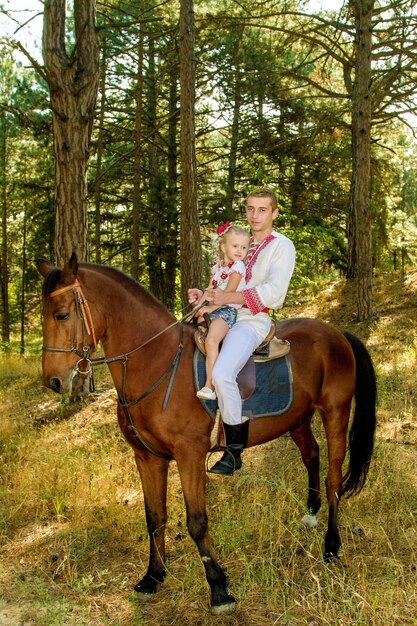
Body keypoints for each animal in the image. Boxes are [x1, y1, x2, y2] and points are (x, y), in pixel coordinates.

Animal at [37, 254, 376, 616]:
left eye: (62, 314)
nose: (53, 380)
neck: (156, 363)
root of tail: (335, 332)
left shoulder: (190, 455)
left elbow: (197, 522)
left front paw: (219, 589)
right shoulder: (146, 457)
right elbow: (154, 517)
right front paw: (152, 577)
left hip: (336, 411)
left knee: (333, 477)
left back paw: (332, 545)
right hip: (297, 419)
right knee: (311, 455)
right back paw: (311, 514)